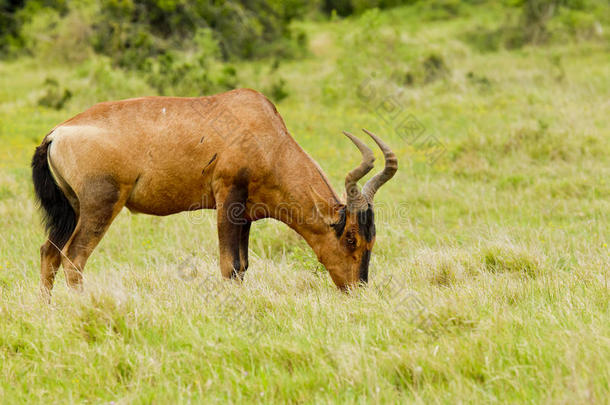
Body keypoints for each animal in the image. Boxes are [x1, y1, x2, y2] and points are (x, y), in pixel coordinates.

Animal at [32, 87, 394, 294]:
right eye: (351, 238)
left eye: (372, 239)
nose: (357, 289)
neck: (261, 129)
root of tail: (56, 134)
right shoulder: (227, 200)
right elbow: (229, 266)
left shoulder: (247, 214)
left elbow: (243, 266)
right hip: (100, 206)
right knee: (74, 258)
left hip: (72, 209)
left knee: (49, 253)